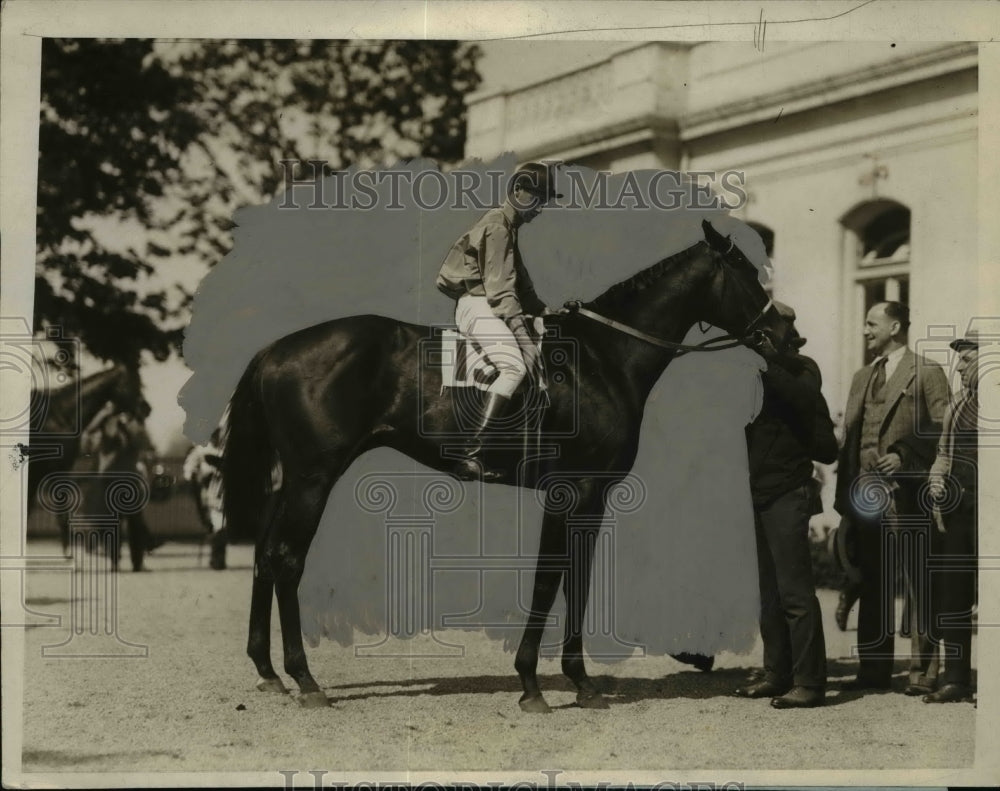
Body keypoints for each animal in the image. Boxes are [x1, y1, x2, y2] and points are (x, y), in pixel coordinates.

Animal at [223, 221, 784, 712]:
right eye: (747, 272)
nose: (789, 332)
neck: (601, 360)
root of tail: (275, 350)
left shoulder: (592, 498)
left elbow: (575, 580)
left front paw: (576, 682)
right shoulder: (572, 491)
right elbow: (550, 580)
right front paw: (536, 684)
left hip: (287, 483)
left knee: (264, 556)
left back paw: (268, 672)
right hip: (312, 481)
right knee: (287, 559)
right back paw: (305, 679)